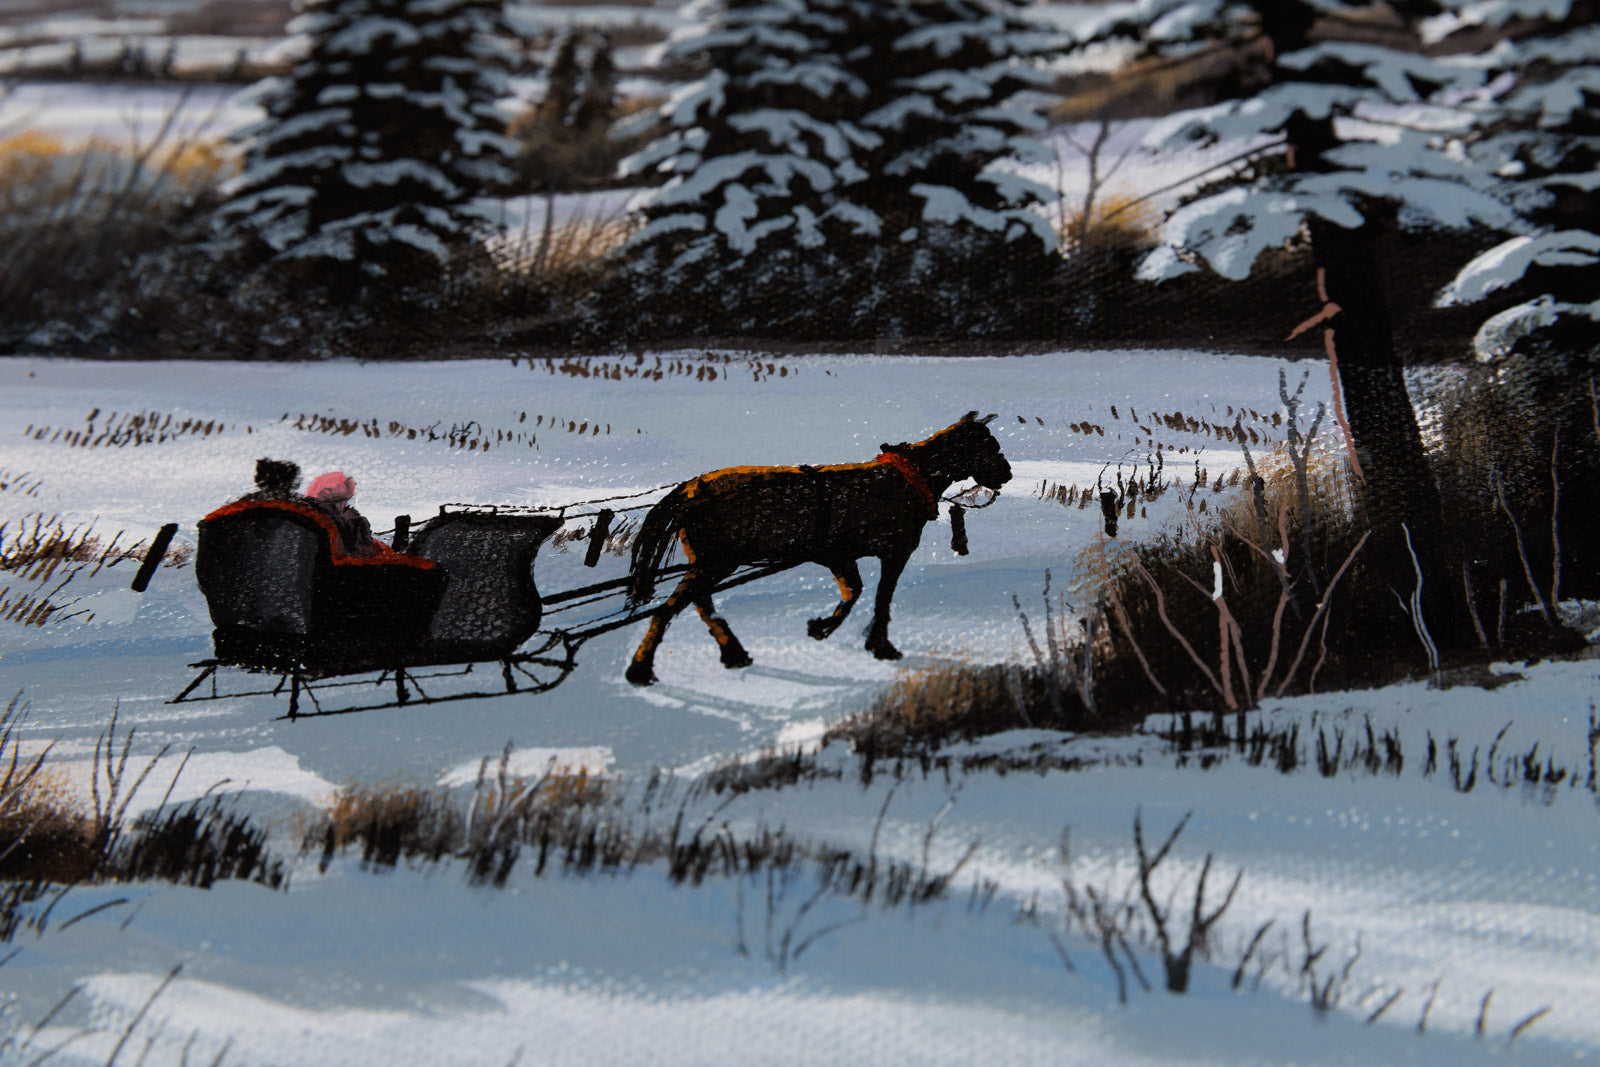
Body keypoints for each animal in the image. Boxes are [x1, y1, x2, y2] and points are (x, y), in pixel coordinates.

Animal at [624, 412, 1011, 686]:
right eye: (988, 446)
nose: (1006, 474)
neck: (907, 480)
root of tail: (691, 488)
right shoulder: (893, 553)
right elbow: (880, 599)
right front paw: (880, 646)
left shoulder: (839, 556)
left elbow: (853, 592)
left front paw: (821, 628)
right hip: (714, 563)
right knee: (670, 610)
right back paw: (641, 670)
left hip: (709, 563)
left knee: (700, 604)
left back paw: (733, 654)